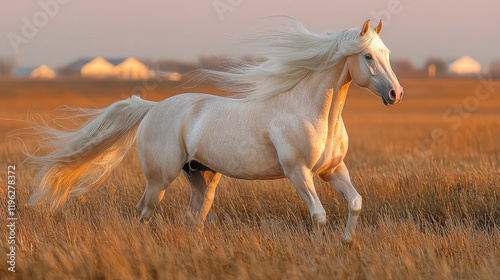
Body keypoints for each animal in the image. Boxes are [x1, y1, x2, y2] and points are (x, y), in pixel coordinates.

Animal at [27, 19, 402, 243]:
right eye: (368, 57)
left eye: (386, 52)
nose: (395, 94)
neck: (310, 111)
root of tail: (152, 108)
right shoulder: (299, 172)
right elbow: (319, 215)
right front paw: (321, 247)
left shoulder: (333, 170)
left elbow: (355, 202)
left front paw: (347, 242)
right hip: (159, 178)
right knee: (144, 211)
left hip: (202, 176)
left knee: (193, 216)